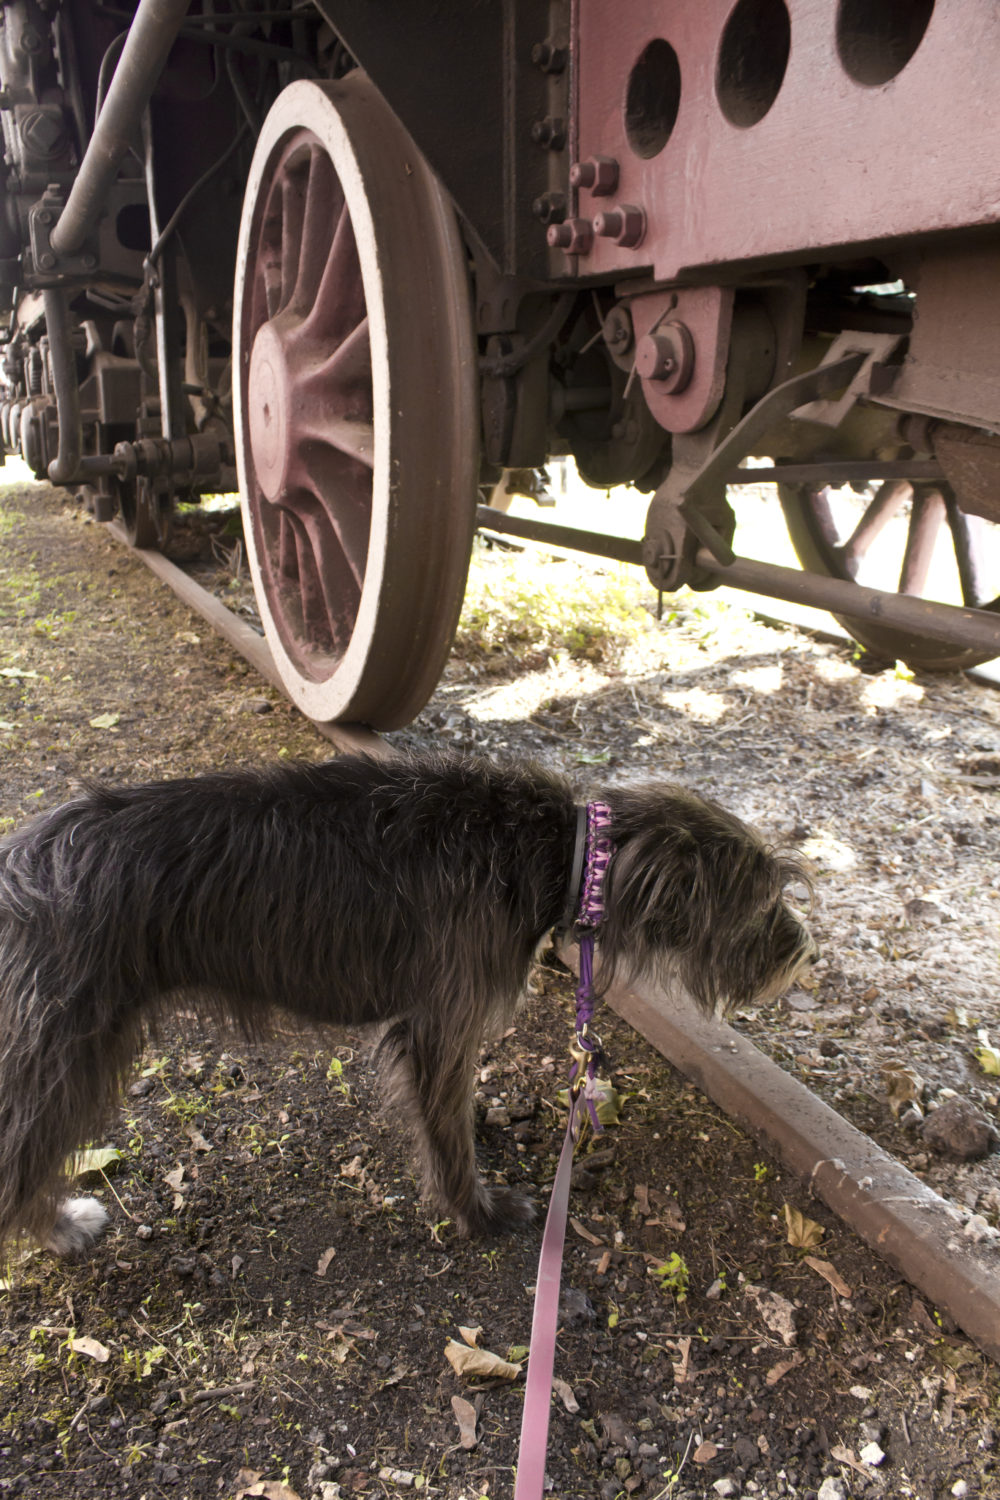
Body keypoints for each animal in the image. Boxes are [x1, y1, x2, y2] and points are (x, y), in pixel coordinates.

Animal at [0, 752, 815, 1255]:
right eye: (762, 904)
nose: (804, 955)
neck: (561, 850)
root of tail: (19, 862)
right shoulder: (441, 1026)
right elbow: (445, 1128)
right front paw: (477, 1212)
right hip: (65, 1056)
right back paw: (56, 1227)